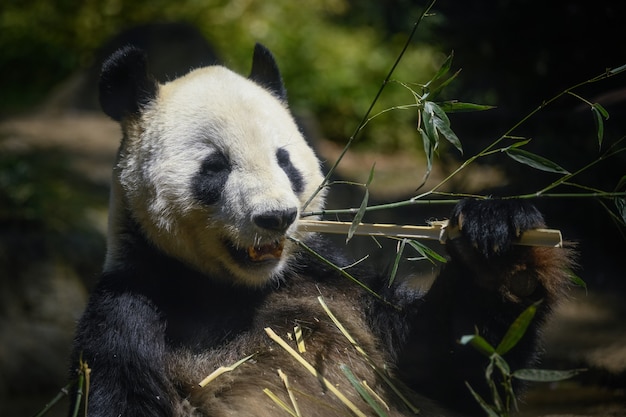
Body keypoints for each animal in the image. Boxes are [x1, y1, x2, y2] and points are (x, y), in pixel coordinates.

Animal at [70, 43, 572, 416]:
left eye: (285, 161)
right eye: (215, 167)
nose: (275, 217)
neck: (239, 289)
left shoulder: (336, 284)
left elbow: (451, 365)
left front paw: (501, 251)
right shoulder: (130, 314)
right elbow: (122, 394)